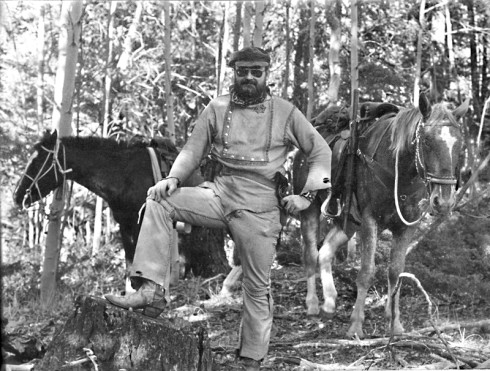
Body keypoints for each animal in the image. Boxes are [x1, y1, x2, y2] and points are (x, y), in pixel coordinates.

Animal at [13, 131, 203, 264]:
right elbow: (130, 261)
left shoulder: (140, 222)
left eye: (38, 161)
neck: (124, 174)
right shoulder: (124, 224)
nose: (17, 195)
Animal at [292, 94, 468, 338]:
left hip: (349, 224)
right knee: (310, 254)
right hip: (310, 209)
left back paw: (329, 303)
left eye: (459, 145)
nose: (444, 202)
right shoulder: (370, 220)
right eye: (426, 141)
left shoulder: (406, 227)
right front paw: (356, 325)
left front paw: (395, 323)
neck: (398, 170)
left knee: (325, 252)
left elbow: (395, 272)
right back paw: (313, 305)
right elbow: (367, 271)